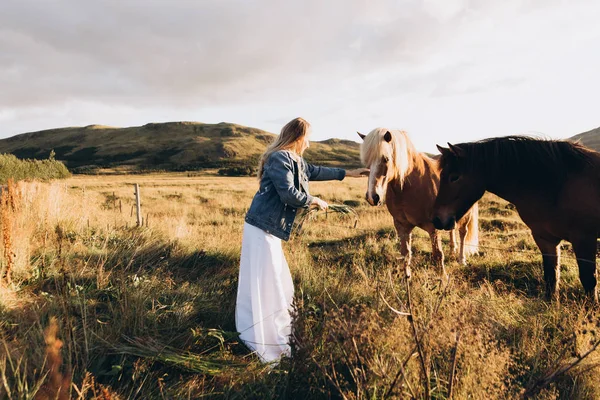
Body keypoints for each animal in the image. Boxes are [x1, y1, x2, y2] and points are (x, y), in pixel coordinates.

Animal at [358, 129, 480, 278]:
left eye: (386, 159)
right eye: (367, 162)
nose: (372, 197)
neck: (410, 186)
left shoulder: (434, 227)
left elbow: (438, 255)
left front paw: (443, 279)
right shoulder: (401, 225)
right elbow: (405, 253)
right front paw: (406, 278)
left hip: (466, 215)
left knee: (463, 233)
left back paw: (461, 259)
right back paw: (453, 250)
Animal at [434, 136, 600, 302]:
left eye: (454, 177)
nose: (437, 220)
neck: (557, 186)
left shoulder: (584, 240)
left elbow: (588, 280)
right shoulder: (546, 239)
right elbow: (551, 278)